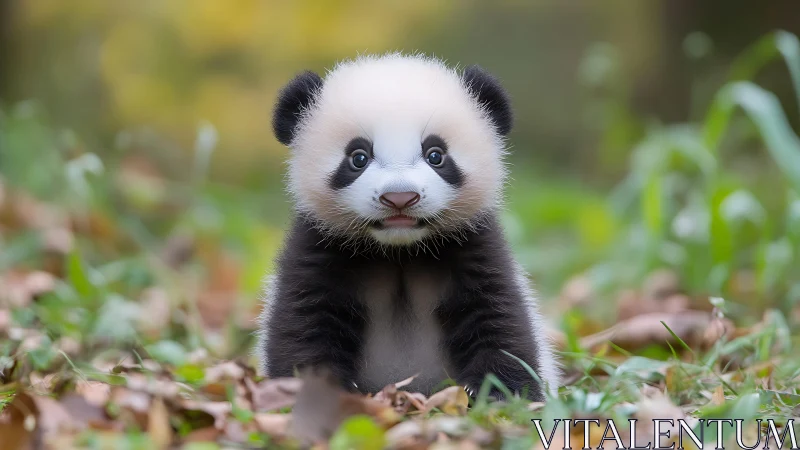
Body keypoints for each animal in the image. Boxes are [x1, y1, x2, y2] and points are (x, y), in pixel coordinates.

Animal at [259, 53, 559, 401]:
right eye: (358, 157)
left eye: (436, 155)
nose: (399, 197)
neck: (399, 250)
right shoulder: (319, 246)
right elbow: (305, 322)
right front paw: (320, 392)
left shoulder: (474, 245)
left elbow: (497, 316)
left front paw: (496, 392)